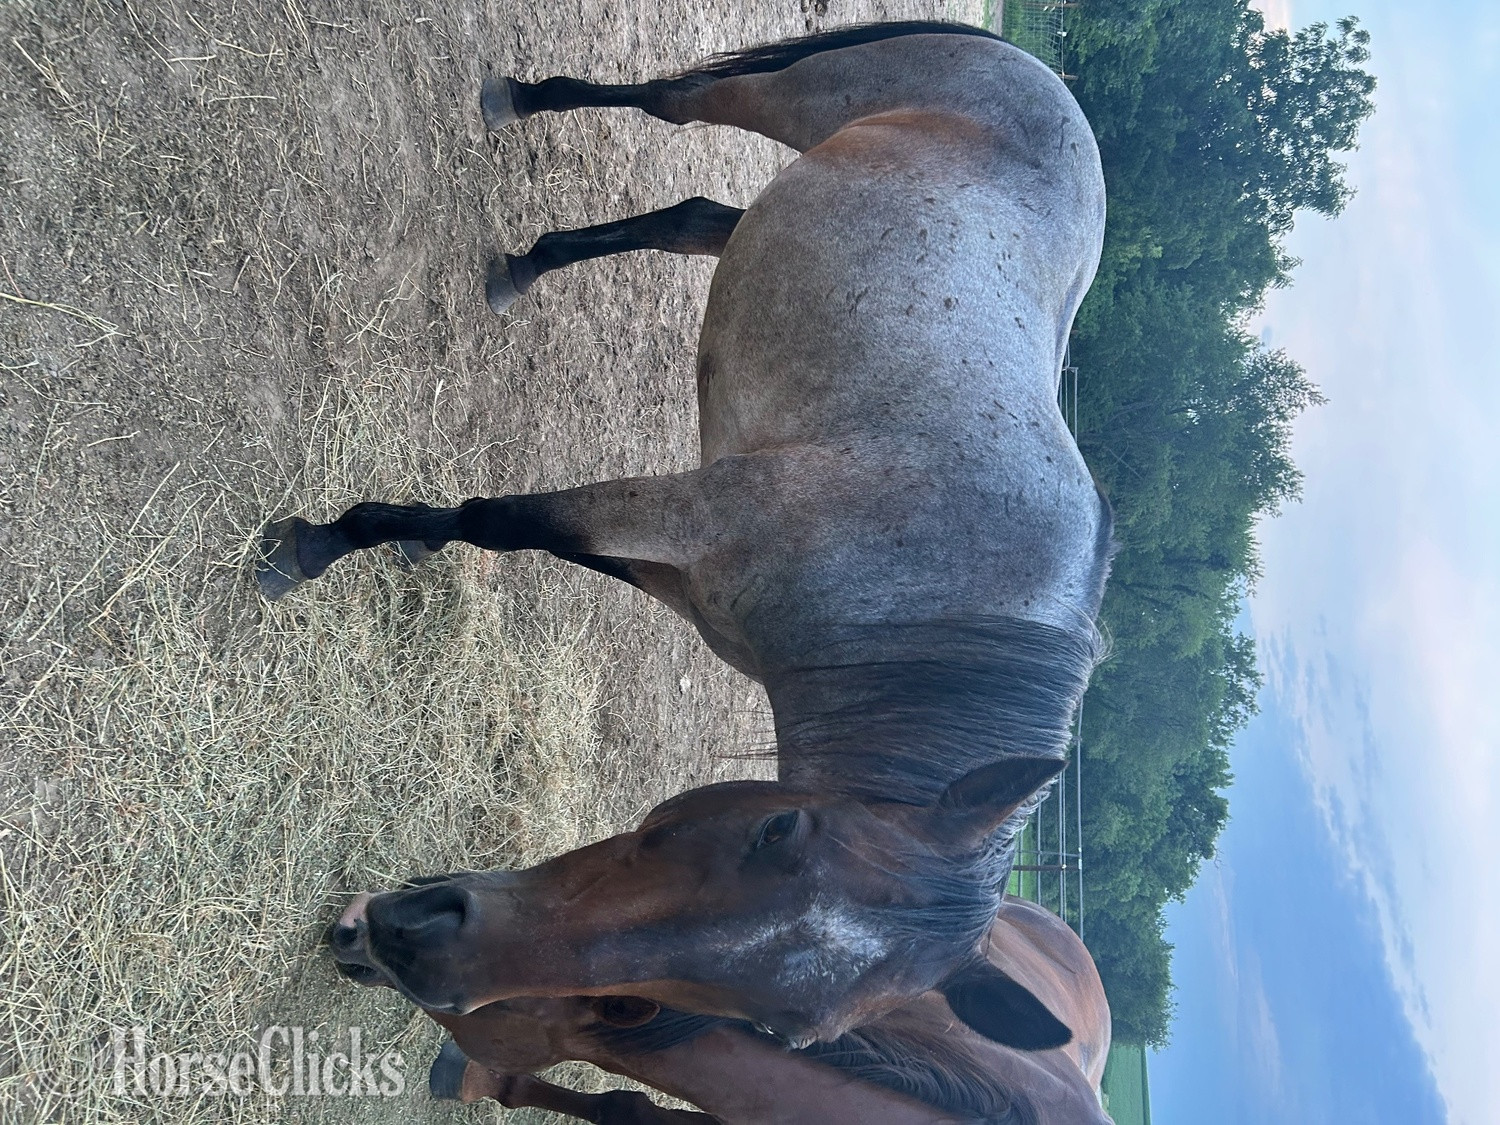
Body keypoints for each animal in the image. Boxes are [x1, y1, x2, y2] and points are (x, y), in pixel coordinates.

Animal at [263, 21, 1111, 1050]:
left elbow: (541, 540)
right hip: (790, 97)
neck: (927, 597)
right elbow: (502, 522)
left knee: (699, 216)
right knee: (672, 104)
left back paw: (528, 262)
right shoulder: (687, 511)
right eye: (778, 831)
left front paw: (396, 539)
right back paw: (521, 103)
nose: (424, 953)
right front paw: (326, 540)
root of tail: (1043, 79)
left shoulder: (684, 569)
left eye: (786, 1031)